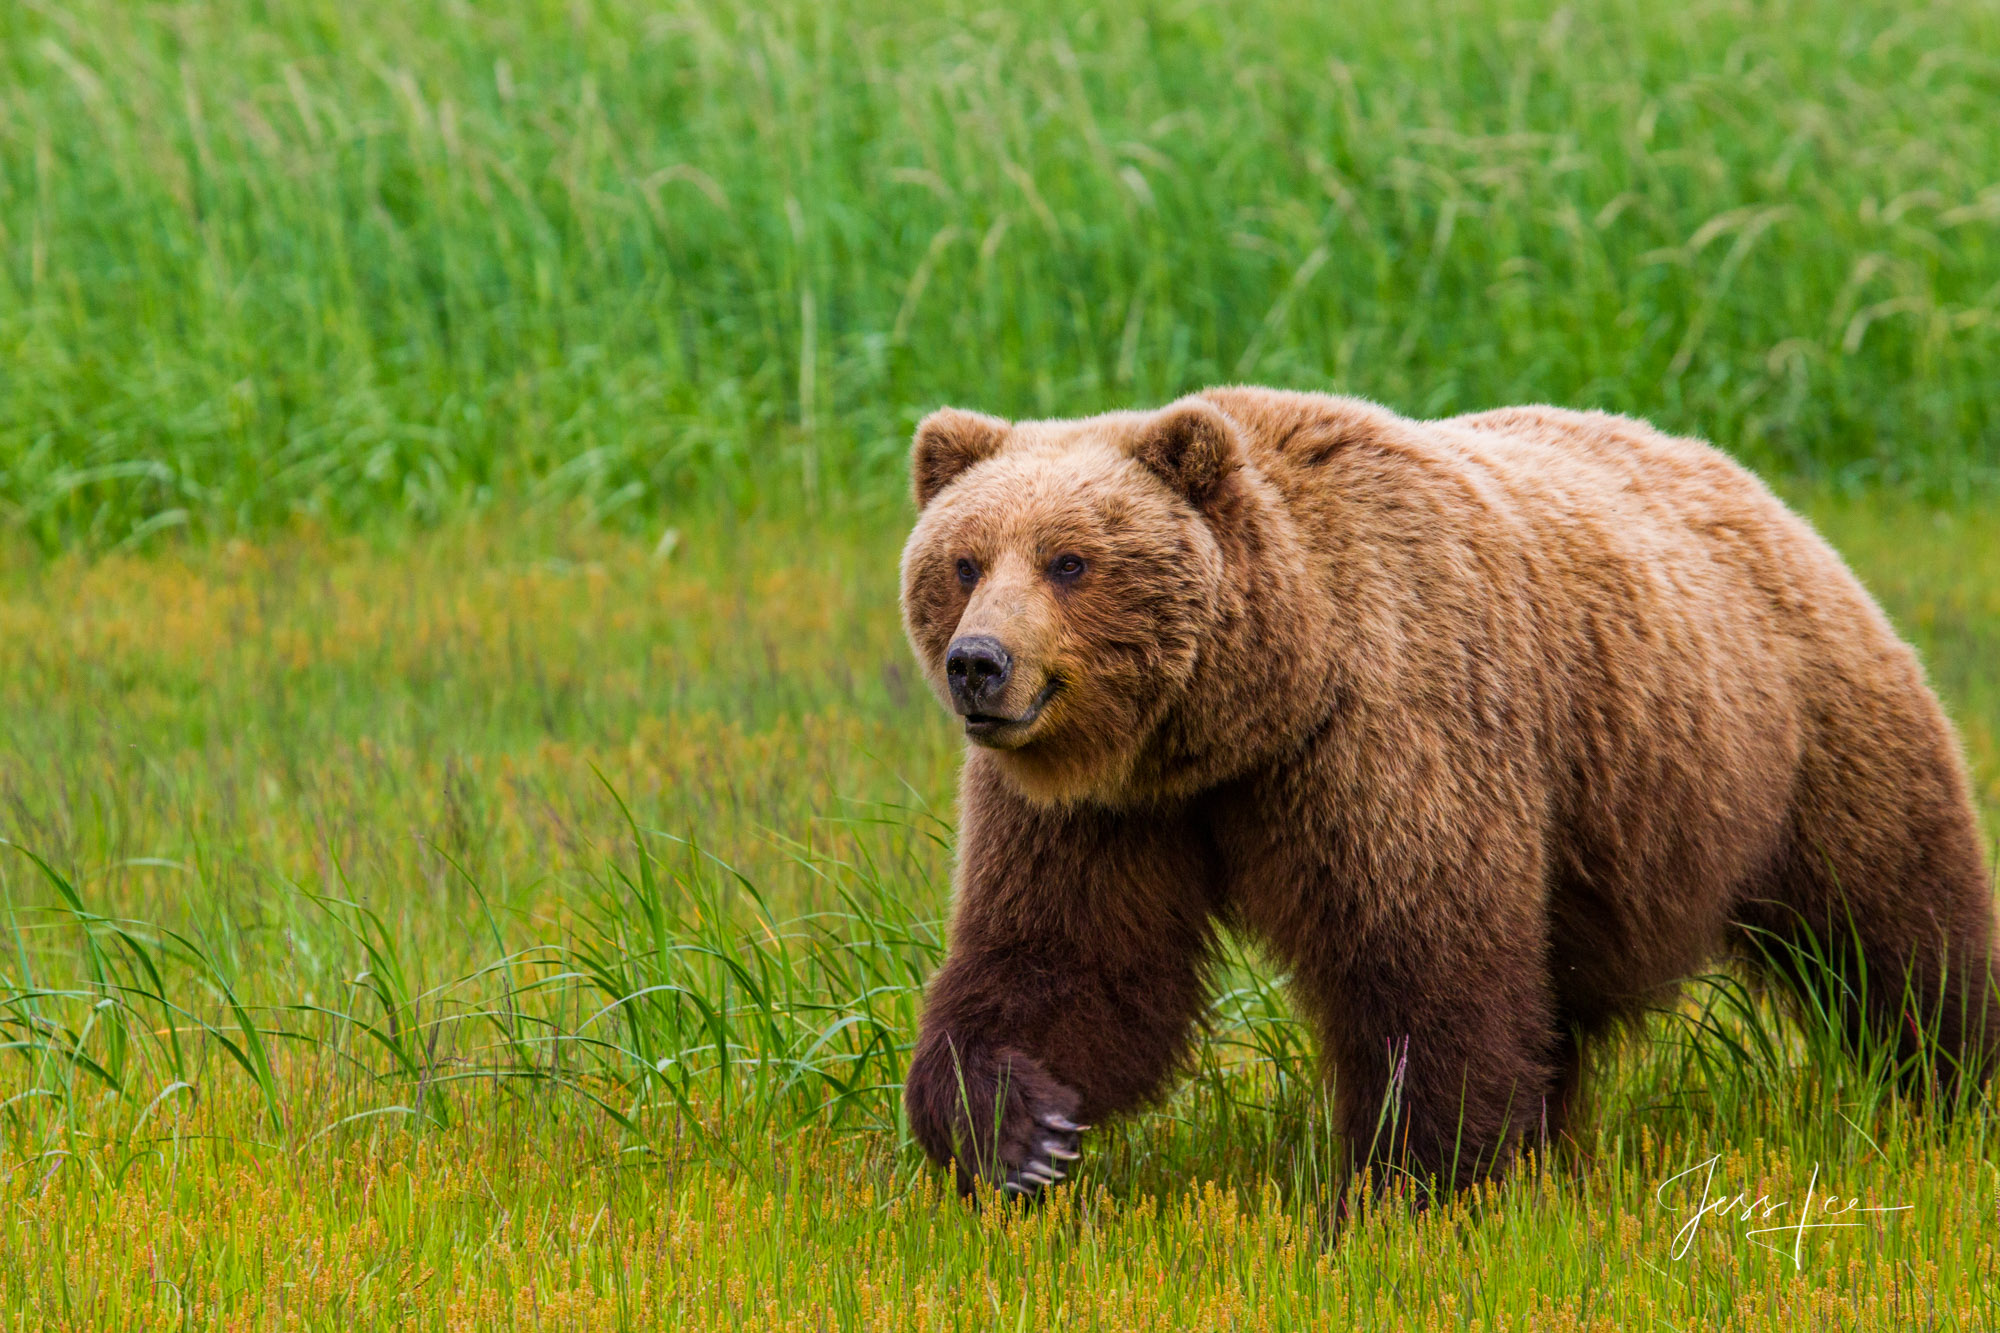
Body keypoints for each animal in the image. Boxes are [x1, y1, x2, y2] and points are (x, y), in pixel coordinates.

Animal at [900, 386, 1992, 1200]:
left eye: (1069, 560)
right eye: (962, 561)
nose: (979, 664)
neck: (1244, 716)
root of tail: (1749, 482)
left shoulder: (1390, 736)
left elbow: (1422, 958)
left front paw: (1414, 1182)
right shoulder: (1106, 809)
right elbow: (1068, 957)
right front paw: (1020, 1132)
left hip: (1797, 736)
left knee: (1895, 921)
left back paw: (1954, 1084)